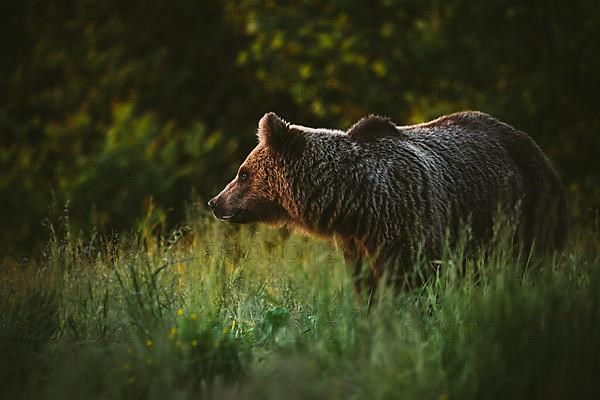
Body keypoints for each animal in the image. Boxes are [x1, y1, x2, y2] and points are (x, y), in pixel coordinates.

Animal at [209, 111, 568, 292]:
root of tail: (533, 145)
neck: (356, 202)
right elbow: (366, 288)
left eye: (243, 173)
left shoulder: (411, 224)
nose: (215, 202)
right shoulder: (357, 244)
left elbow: (415, 284)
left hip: (526, 208)